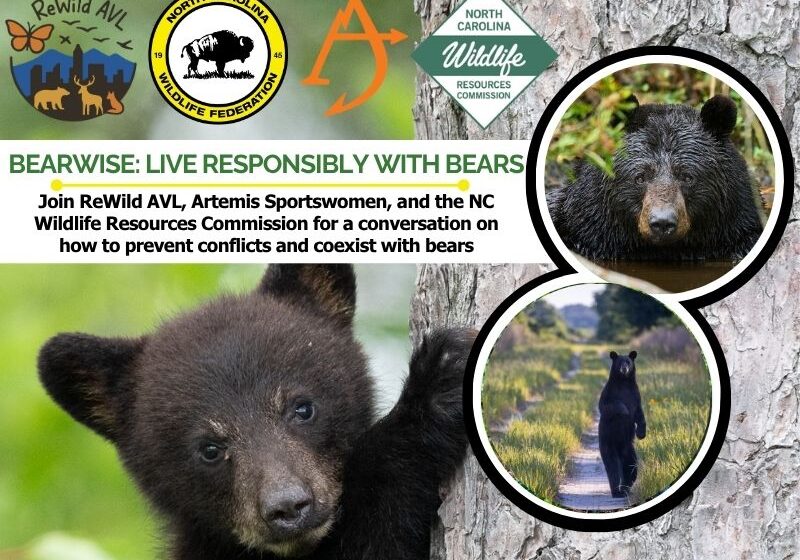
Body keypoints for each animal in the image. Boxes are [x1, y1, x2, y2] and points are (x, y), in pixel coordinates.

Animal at [598, 350, 646, 498]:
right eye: (620, 362)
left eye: (628, 362)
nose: (624, 368)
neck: (624, 382)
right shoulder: (609, 392)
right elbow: (607, 405)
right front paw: (624, 411)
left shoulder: (636, 395)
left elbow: (639, 414)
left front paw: (641, 433)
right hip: (608, 442)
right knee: (612, 466)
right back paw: (617, 491)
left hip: (629, 449)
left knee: (631, 467)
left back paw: (626, 488)